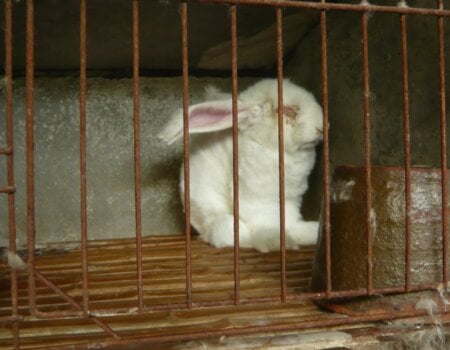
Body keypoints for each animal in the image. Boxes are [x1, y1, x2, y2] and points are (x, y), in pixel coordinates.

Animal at [161, 78, 324, 252]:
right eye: (288, 110)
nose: (322, 127)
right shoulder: (258, 201)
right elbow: (267, 224)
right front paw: (276, 241)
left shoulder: (291, 200)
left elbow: (291, 223)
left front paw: (309, 233)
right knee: (222, 234)